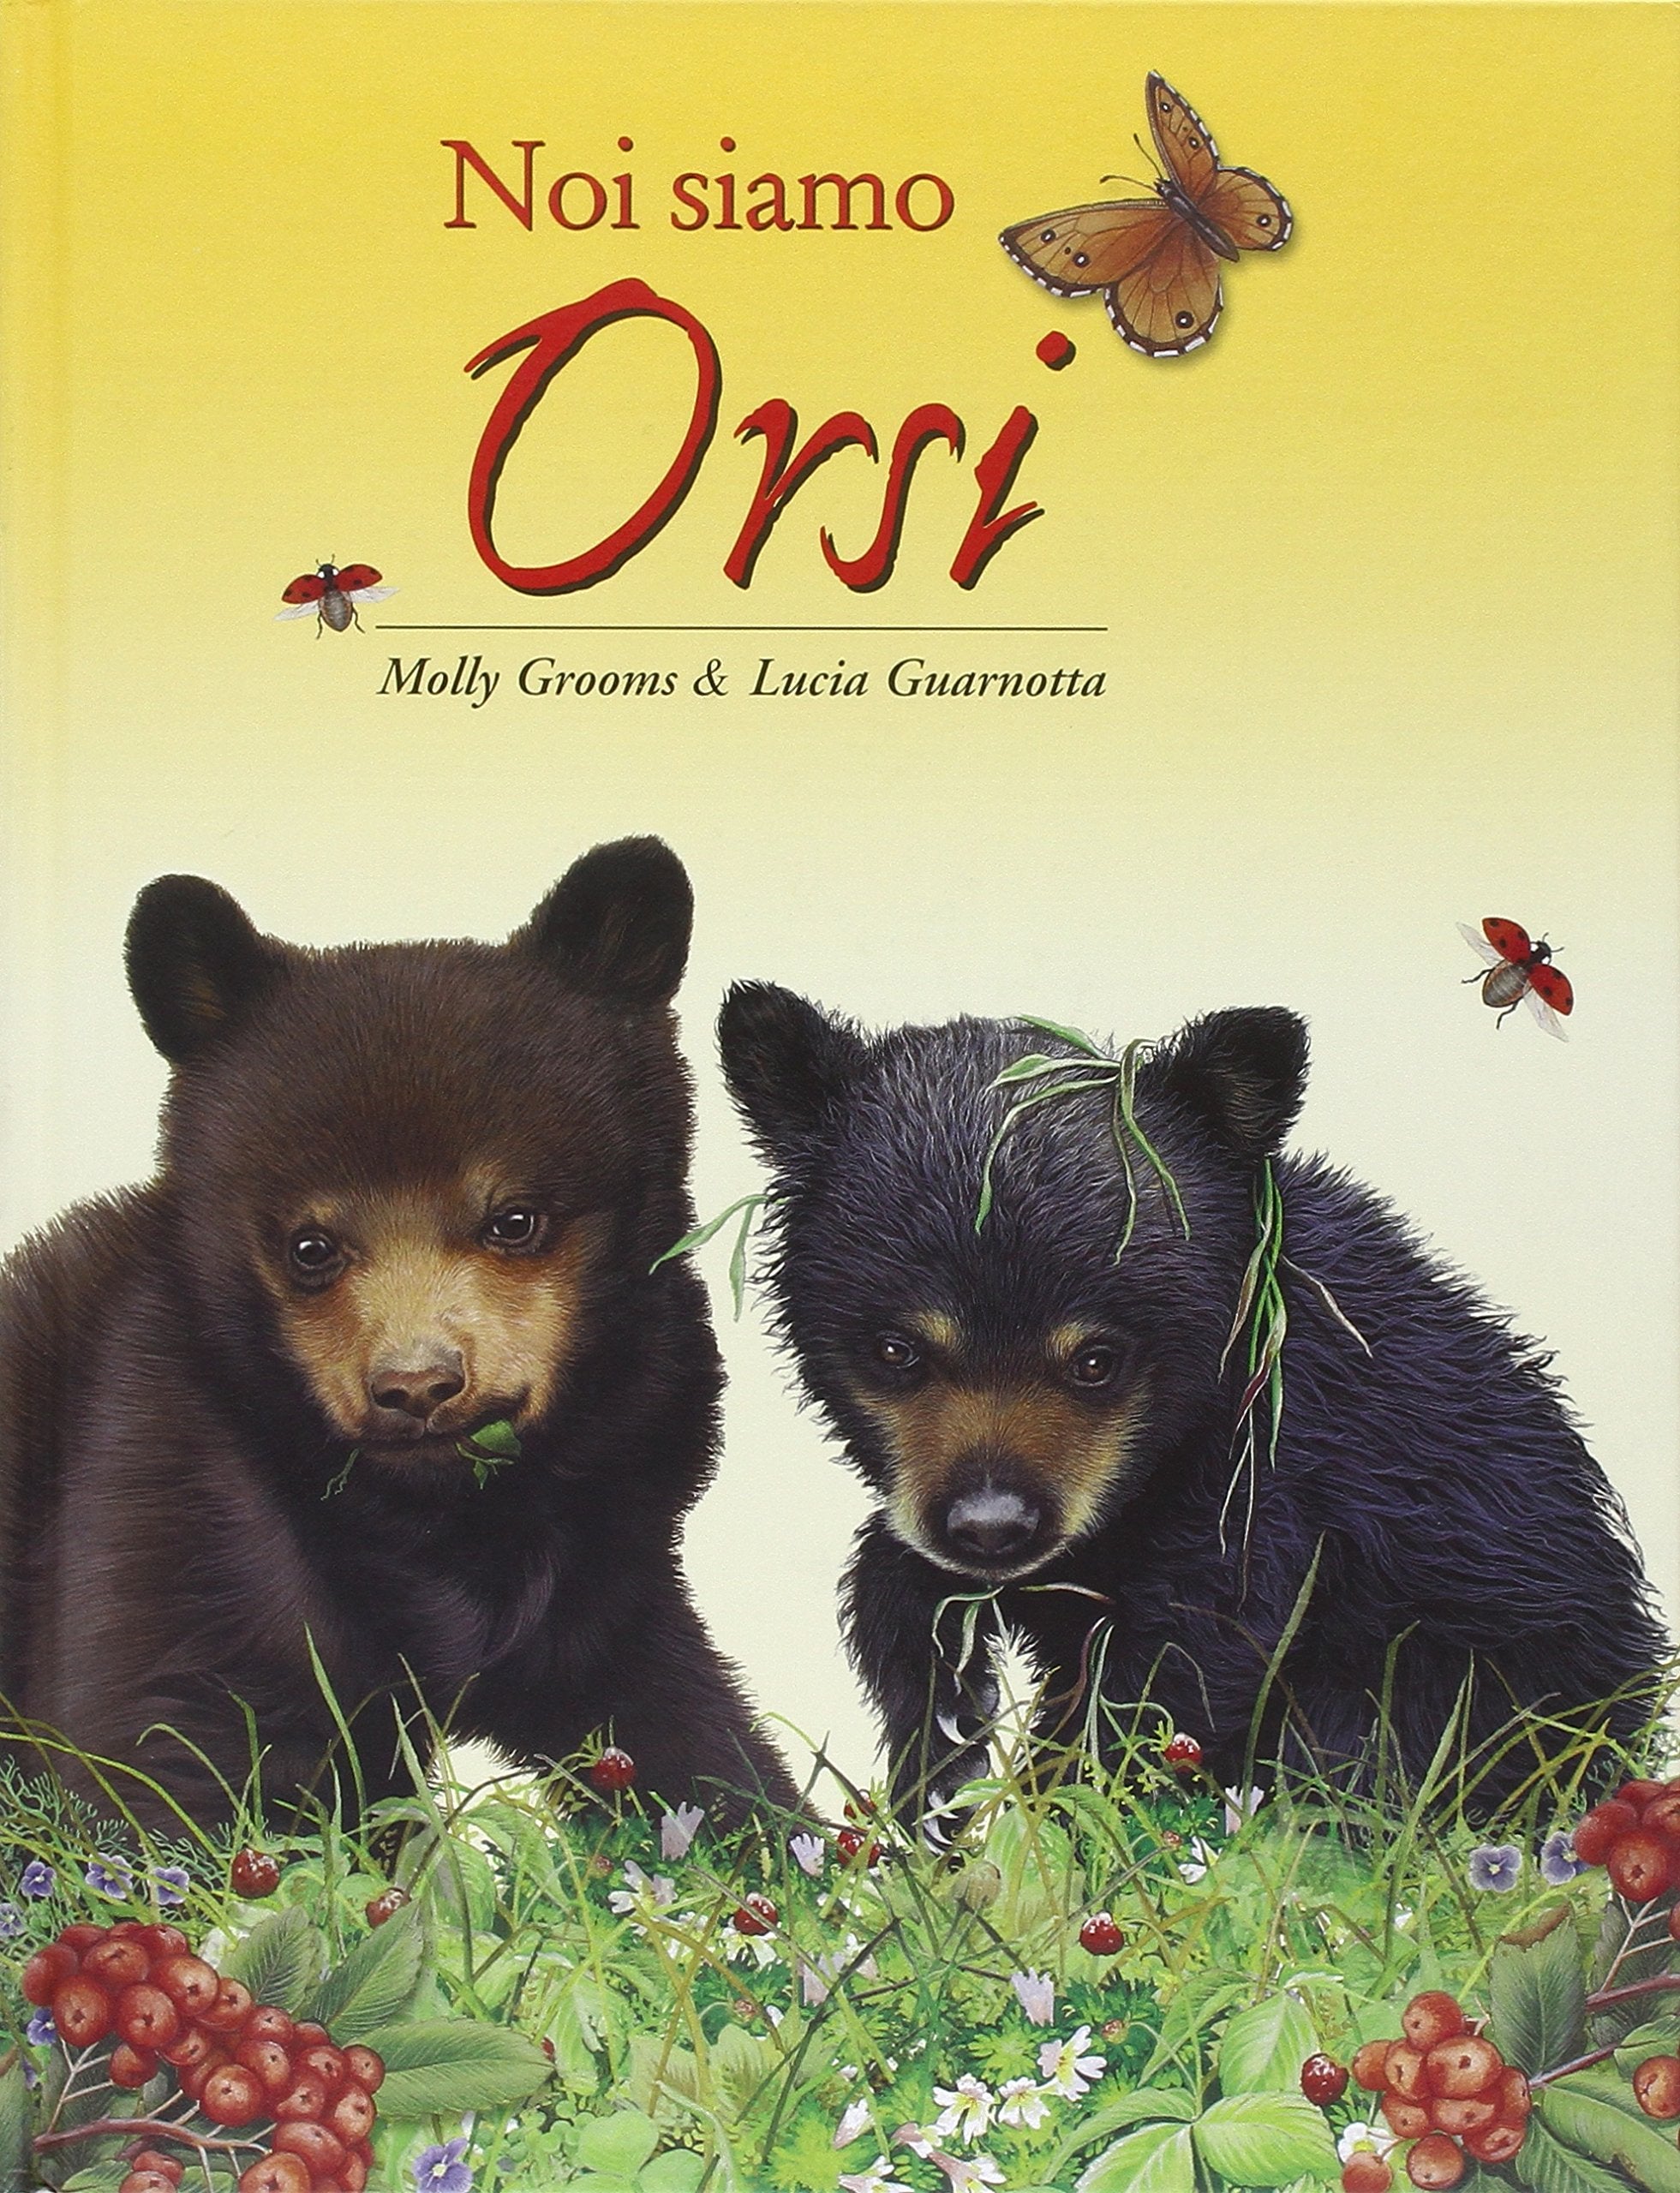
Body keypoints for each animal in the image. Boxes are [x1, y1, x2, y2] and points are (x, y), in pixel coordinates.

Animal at [0, 839, 798, 1829]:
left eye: (515, 1219)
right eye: (310, 1246)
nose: (416, 1386)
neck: (432, 1515)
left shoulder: (606, 1554)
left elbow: (687, 1736)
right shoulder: (165, 1495)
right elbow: (159, 1751)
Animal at [718, 985, 1668, 1825]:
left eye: (1097, 1359)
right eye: (897, 1351)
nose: (990, 1528)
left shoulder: (1264, 1491)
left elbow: (1169, 1677)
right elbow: (898, 1586)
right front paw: (941, 1749)